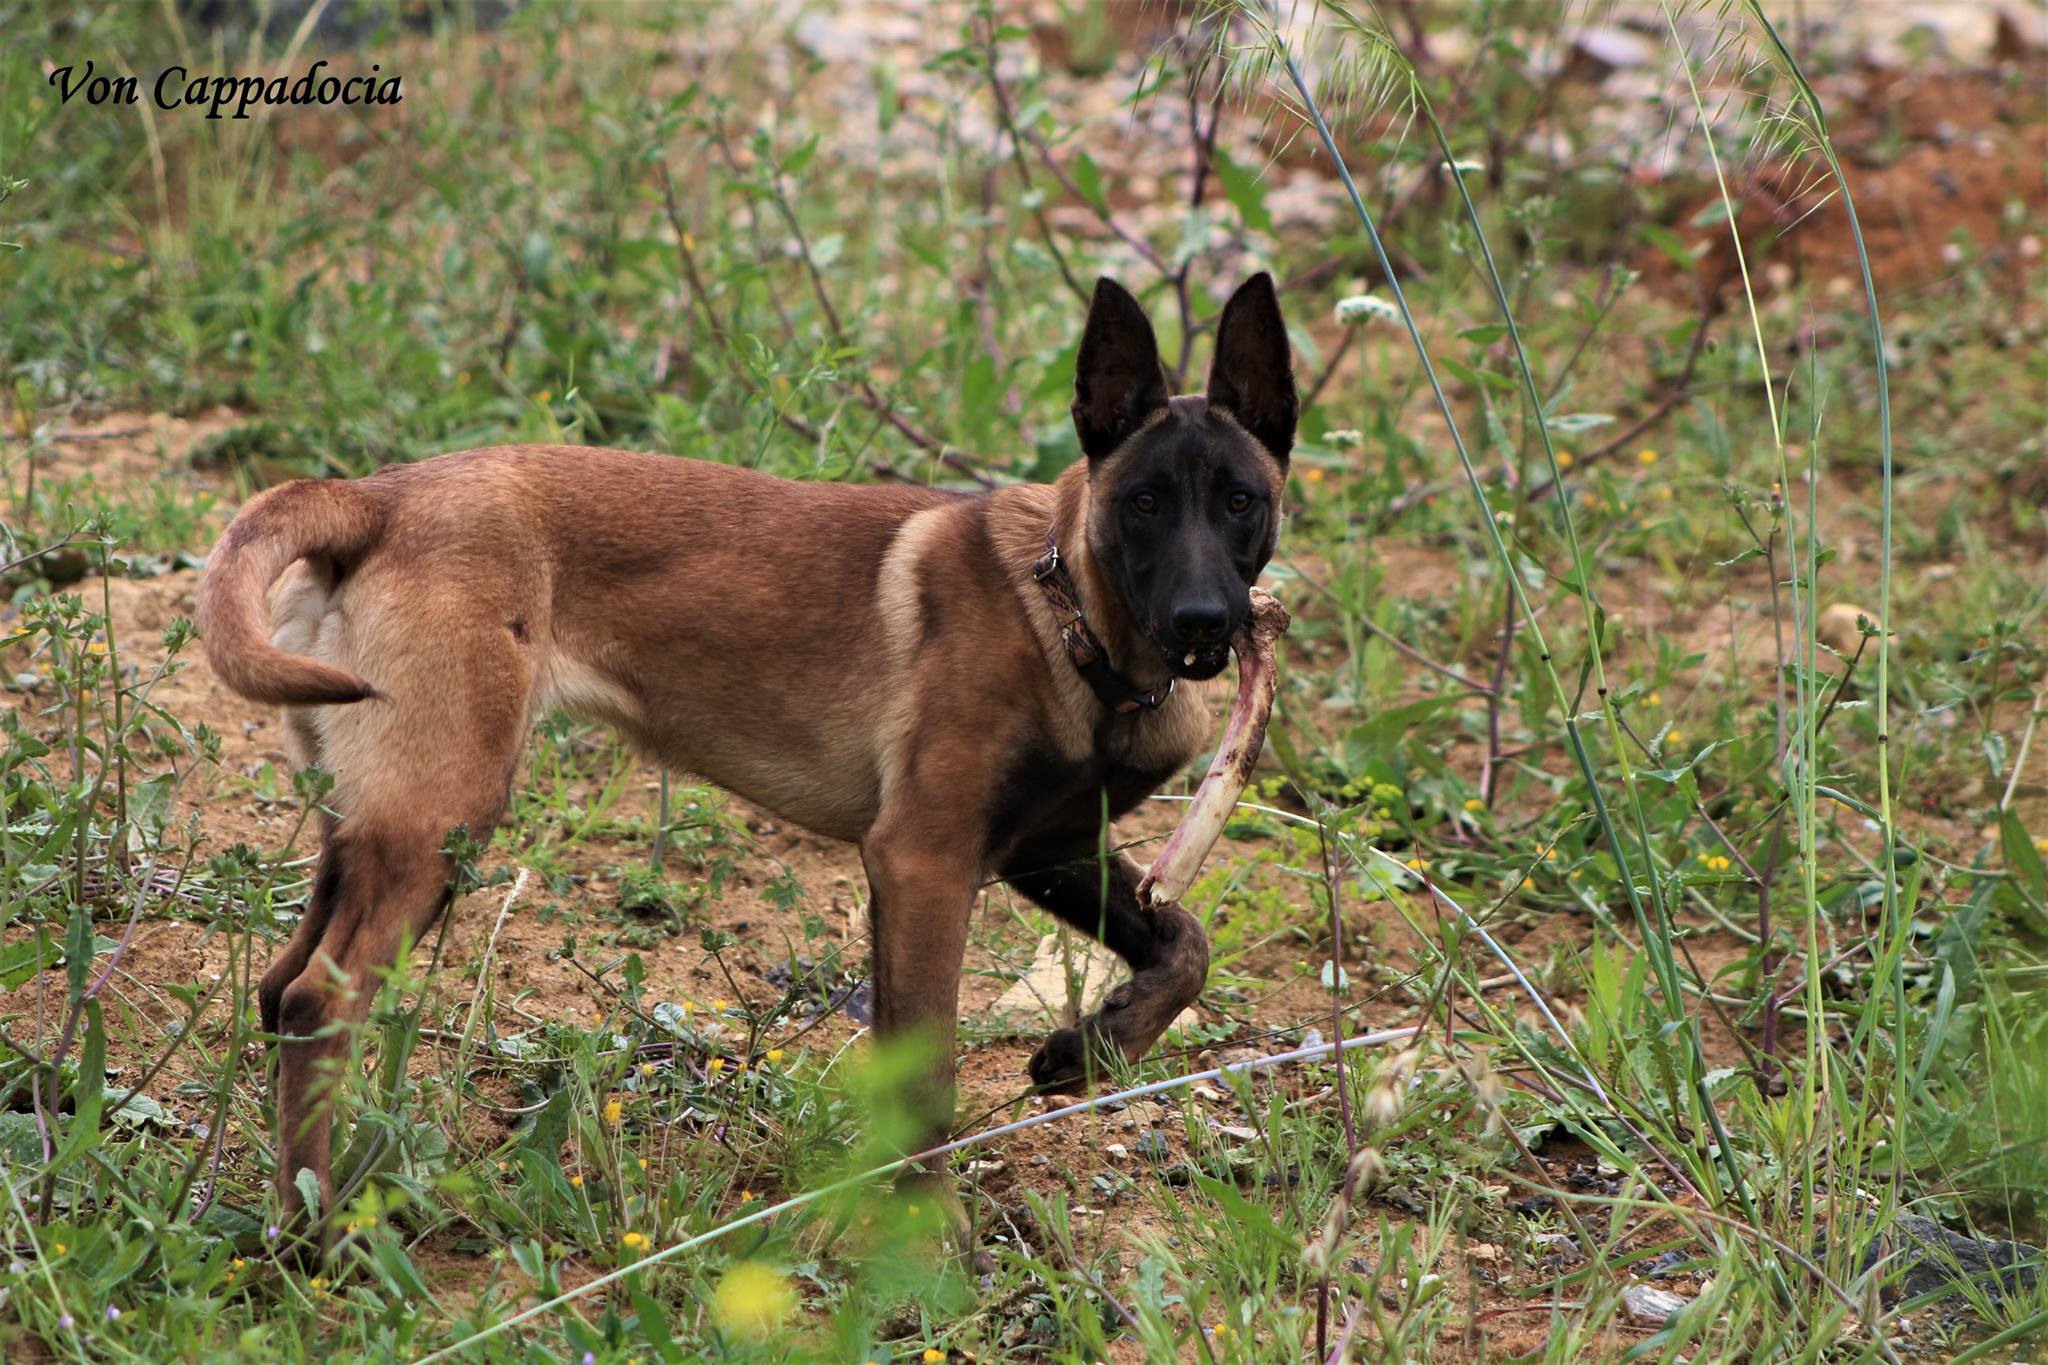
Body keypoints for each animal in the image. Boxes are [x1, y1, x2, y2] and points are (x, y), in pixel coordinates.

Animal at [199, 272, 1302, 1244]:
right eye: (1145, 502)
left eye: (1239, 500)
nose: (1205, 623)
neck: (1070, 616)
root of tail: (375, 496)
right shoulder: (924, 861)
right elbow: (927, 1072)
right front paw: (930, 1234)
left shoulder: (1047, 848)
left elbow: (1183, 943)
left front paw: (1094, 1044)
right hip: (441, 818)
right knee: (316, 1004)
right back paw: (317, 1242)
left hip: (372, 830)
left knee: (282, 989)